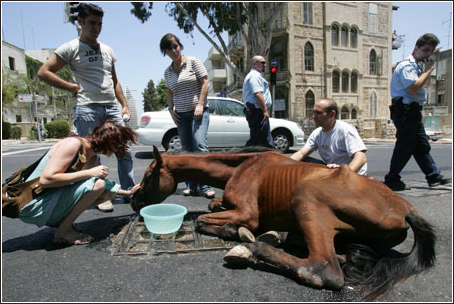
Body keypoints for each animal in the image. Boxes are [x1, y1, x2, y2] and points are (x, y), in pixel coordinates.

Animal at [131, 146, 436, 300]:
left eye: (148, 176)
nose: (134, 201)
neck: (243, 167)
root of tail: (406, 209)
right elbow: (211, 207)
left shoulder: (247, 213)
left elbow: (204, 221)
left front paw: (237, 232)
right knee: (347, 256)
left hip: (306, 197)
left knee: (323, 269)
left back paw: (253, 248)